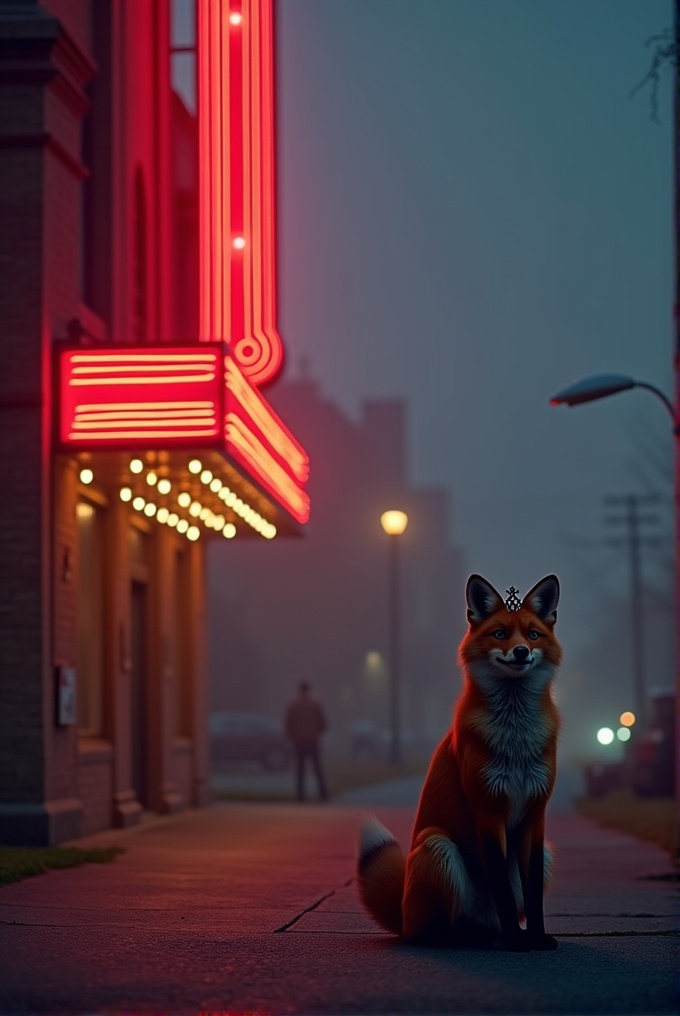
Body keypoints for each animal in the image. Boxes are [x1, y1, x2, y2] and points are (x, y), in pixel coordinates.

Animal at [357, 577, 561, 946]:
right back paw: (478, 937)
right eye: (500, 634)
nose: (521, 652)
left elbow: (532, 895)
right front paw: (516, 942)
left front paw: (535, 939)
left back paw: (491, 934)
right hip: (438, 847)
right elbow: (502, 890)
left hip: (546, 854)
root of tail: (403, 914)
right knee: (439, 932)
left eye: (533, 635)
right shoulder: (488, 810)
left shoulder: (535, 815)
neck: (516, 741)